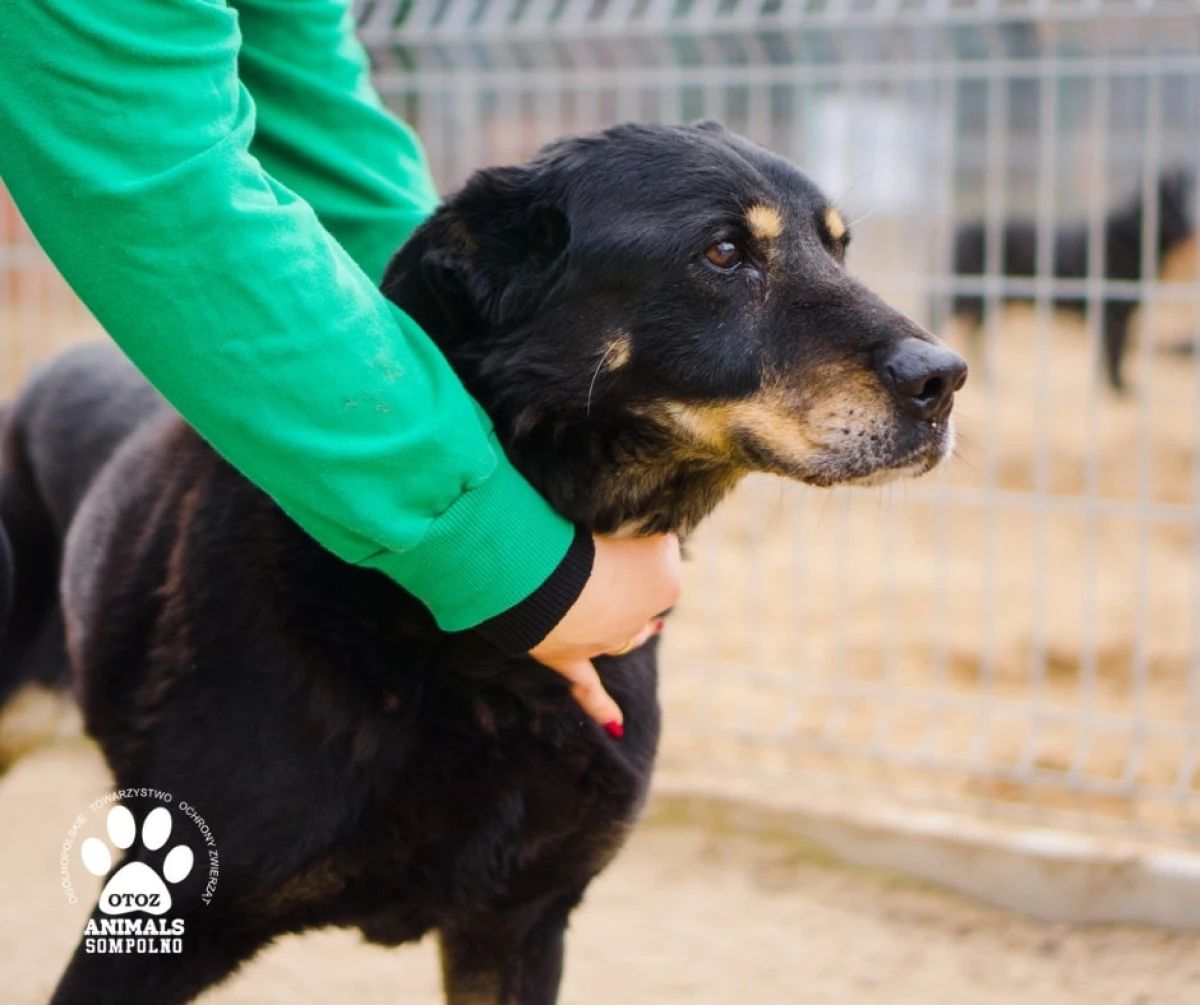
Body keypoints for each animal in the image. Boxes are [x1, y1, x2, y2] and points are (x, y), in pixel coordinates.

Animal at [0, 121, 966, 1004]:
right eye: (724, 252)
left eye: (837, 247)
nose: (946, 378)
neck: (475, 654)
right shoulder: (159, 931)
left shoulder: (519, 925)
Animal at [949, 169, 1194, 391]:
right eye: (1174, 206)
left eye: (1182, 203)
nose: (1191, 228)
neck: (1127, 236)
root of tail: (962, 229)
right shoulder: (1115, 314)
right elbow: (1116, 351)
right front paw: (1119, 387)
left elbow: (1108, 352)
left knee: (974, 337)